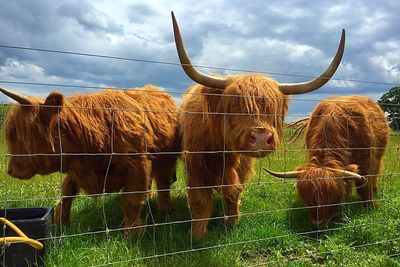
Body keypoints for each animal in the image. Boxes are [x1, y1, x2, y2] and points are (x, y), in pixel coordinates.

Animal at [0, 86, 178, 237]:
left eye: (18, 135)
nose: (10, 170)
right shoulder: (76, 165)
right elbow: (66, 193)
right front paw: (61, 224)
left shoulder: (138, 165)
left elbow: (131, 201)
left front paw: (132, 234)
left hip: (166, 160)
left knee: (163, 182)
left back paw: (165, 209)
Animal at [173, 11, 346, 240]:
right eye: (234, 105)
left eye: (272, 107)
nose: (262, 138)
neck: (223, 152)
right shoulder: (195, 165)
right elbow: (200, 200)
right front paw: (198, 234)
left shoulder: (243, 165)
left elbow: (234, 192)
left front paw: (232, 222)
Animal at [264, 96, 390, 228]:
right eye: (306, 198)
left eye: (333, 197)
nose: (317, 223)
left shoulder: (366, 162)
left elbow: (364, 185)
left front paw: (371, 206)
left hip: (378, 156)